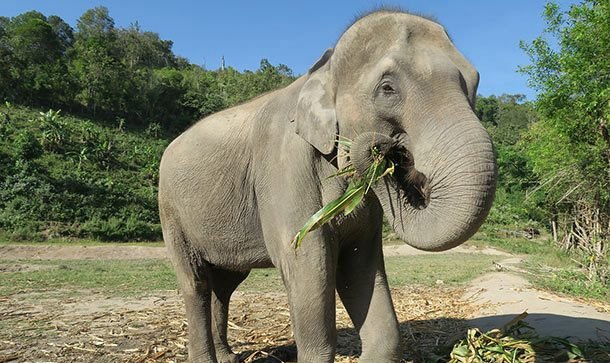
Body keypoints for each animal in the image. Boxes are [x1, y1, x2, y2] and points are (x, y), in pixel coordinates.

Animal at [159, 8, 496, 363]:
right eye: (387, 89)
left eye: (474, 83)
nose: (382, 149)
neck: (323, 68)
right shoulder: (284, 166)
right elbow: (307, 261)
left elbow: (360, 265)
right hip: (171, 213)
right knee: (196, 282)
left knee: (224, 283)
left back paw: (227, 357)